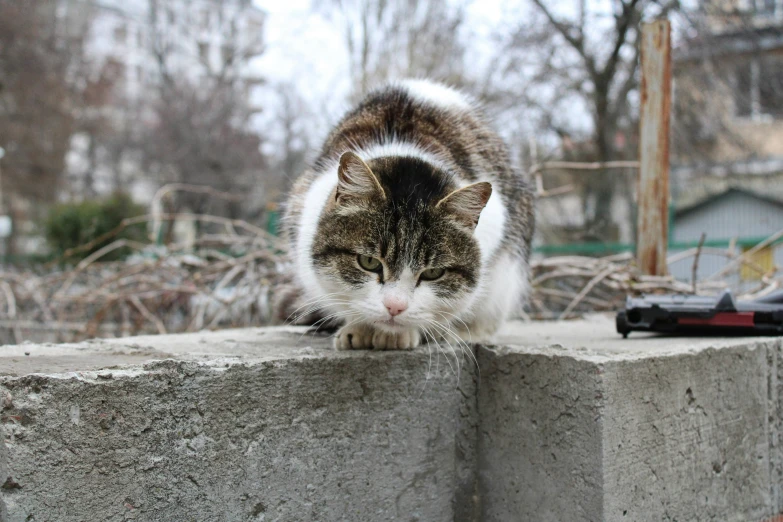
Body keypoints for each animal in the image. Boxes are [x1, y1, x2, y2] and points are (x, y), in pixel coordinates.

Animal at [272, 79, 536, 350]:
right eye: (368, 262)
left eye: (433, 273)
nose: (395, 307)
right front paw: (359, 328)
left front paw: (400, 334)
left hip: (507, 274)